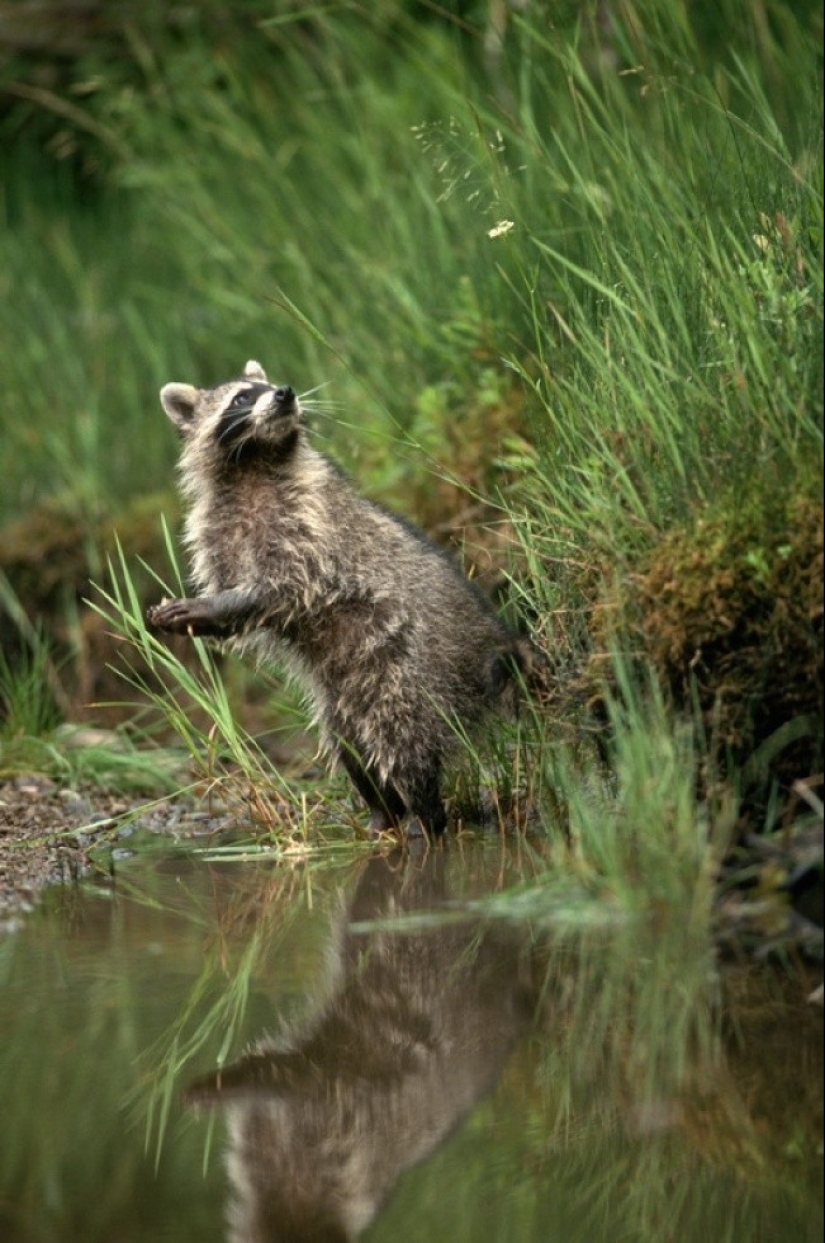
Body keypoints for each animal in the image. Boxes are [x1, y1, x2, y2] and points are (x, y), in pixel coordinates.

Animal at [145, 360, 524, 835]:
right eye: (242, 397)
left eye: (270, 385)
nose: (285, 393)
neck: (254, 462)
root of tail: (491, 638)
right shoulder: (218, 530)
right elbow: (239, 602)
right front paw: (207, 615)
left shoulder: (311, 519)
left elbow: (283, 588)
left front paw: (208, 607)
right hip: (347, 696)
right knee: (351, 748)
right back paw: (382, 812)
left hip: (414, 671)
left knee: (403, 740)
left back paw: (424, 815)